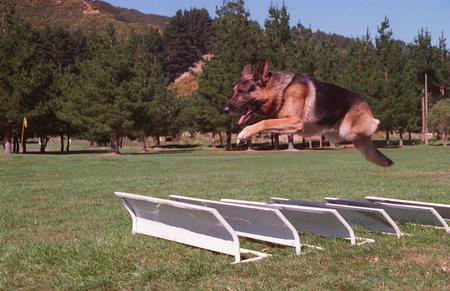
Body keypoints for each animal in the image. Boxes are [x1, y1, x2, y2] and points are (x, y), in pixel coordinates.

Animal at [223, 60, 392, 168]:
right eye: (234, 92)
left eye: (241, 92)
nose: (224, 109)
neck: (280, 90)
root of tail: (364, 103)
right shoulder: (286, 122)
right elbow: (269, 124)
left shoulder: (295, 121)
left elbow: (265, 122)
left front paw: (244, 133)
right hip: (338, 135)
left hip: (348, 130)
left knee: (374, 124)